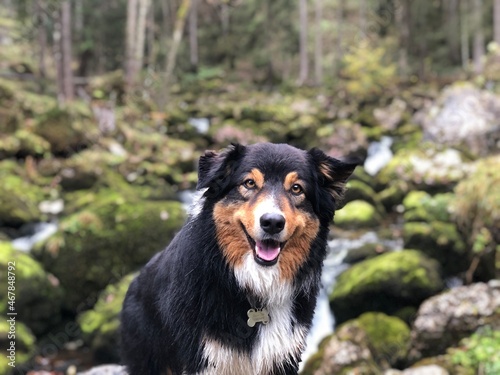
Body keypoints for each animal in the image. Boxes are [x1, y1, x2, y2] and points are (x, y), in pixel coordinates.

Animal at [120, 142, 356, 374]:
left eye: (297, 188)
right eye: (249, 183)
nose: (272, 222)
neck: (253, 287)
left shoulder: (282, 356)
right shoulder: (202, 359)